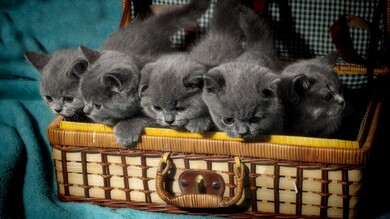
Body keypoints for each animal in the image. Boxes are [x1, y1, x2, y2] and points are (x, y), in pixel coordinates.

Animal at [78, 0, 210, 147]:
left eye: (97, 105)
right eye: (84, 98)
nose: (85, 111)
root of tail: (148, 26)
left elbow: (144, 118)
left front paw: (125, 129)